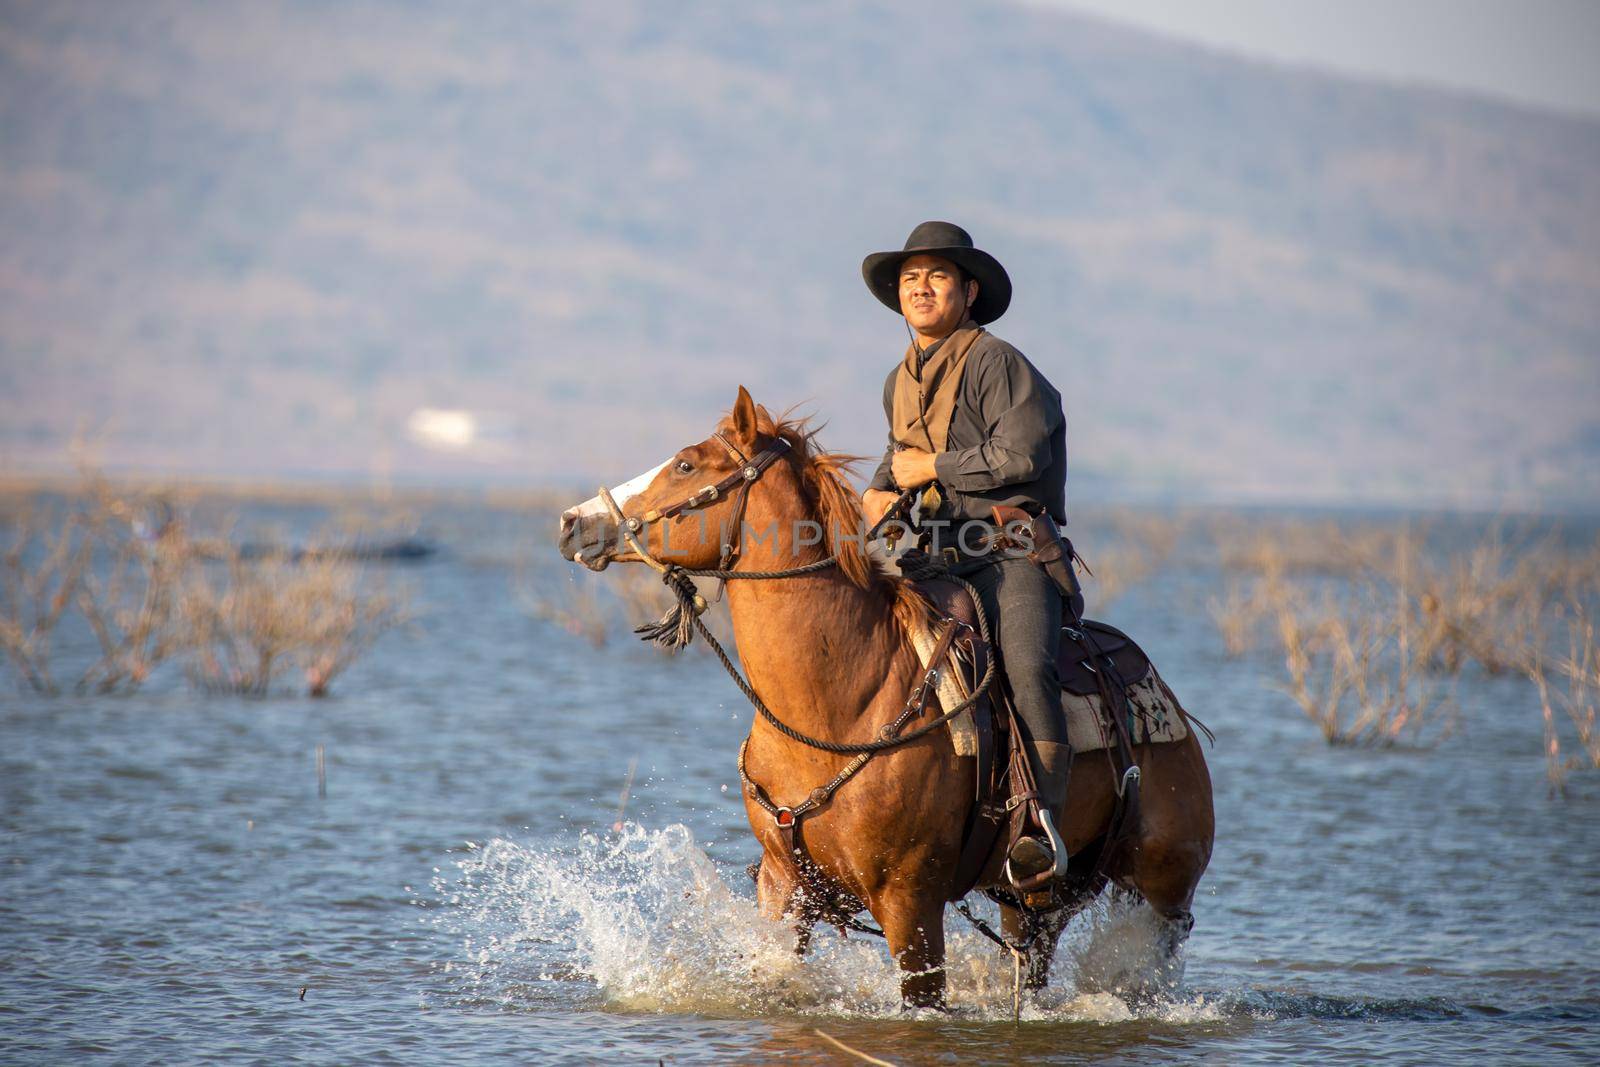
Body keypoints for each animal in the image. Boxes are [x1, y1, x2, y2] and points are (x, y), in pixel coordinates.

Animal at [556, 388, 1203, 1004]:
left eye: (686, 464)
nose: (573, 521)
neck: (838, 704)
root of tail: (1168, 705)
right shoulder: (782, 884)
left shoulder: (909, 902)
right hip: (1032, 904)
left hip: (1162, 894)